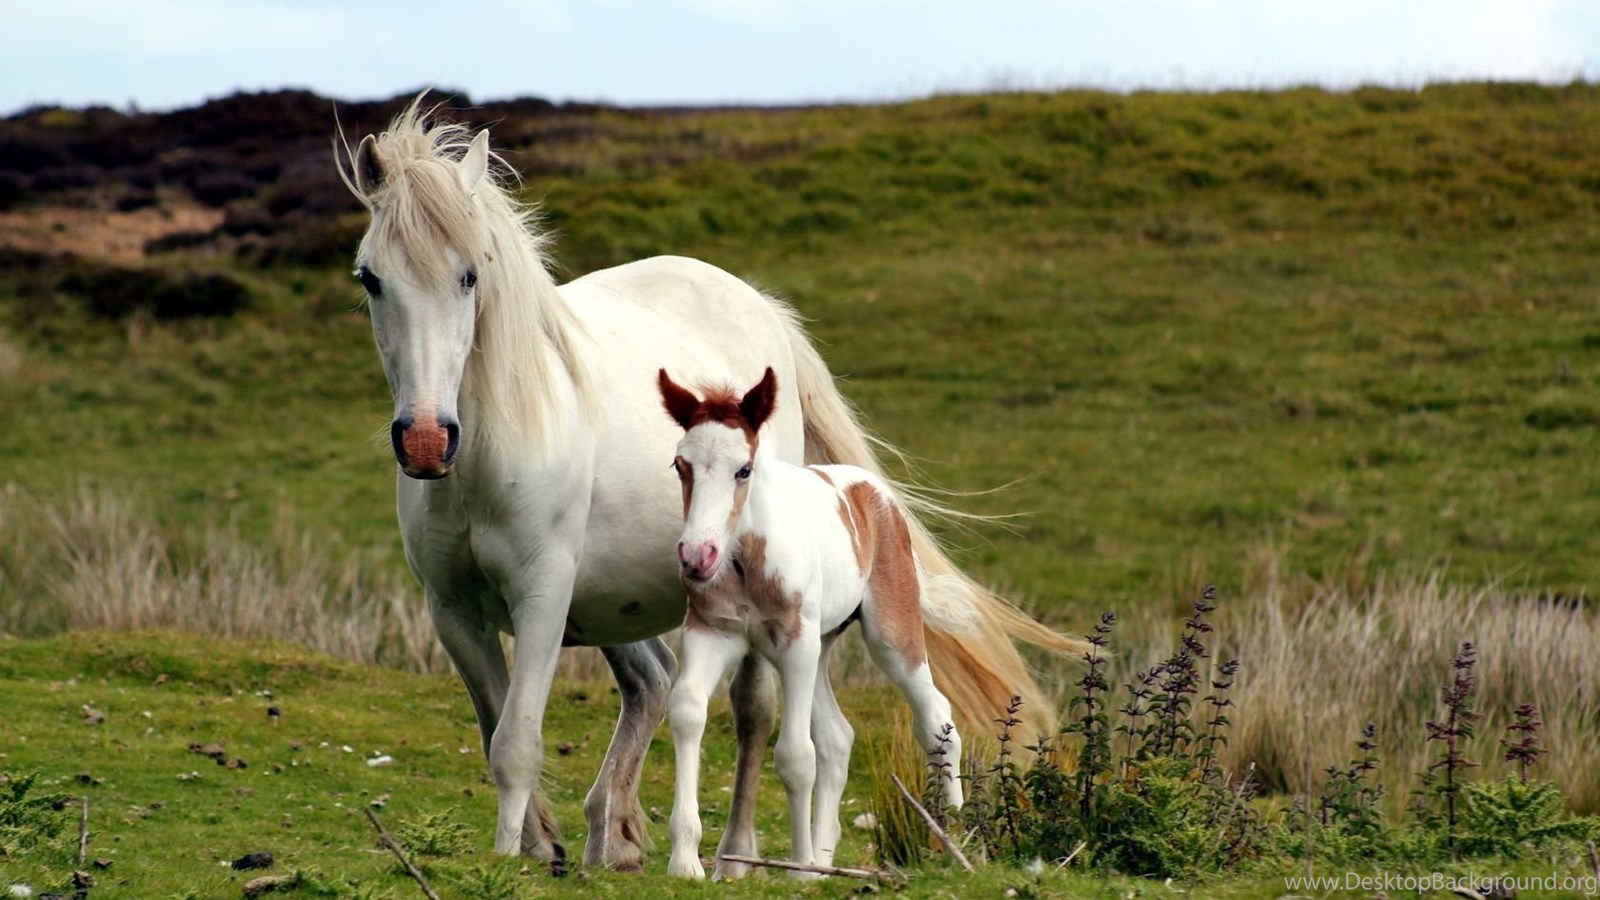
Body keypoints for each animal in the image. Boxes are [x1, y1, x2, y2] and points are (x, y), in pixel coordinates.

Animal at [657, 367, 963, 878]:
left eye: (743, 469)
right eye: (681, 466)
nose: (697, 557)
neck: (747, 561)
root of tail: (875, 491)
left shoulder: (795, 644)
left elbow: (796, 756)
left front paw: (798, 866)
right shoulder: (712, 632)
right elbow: (686, 711)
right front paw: (685, 861)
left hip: (888, 634)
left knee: (936, 717)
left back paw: (959, 833)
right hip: (821, 645)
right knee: (838, 738)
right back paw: (824, 859)